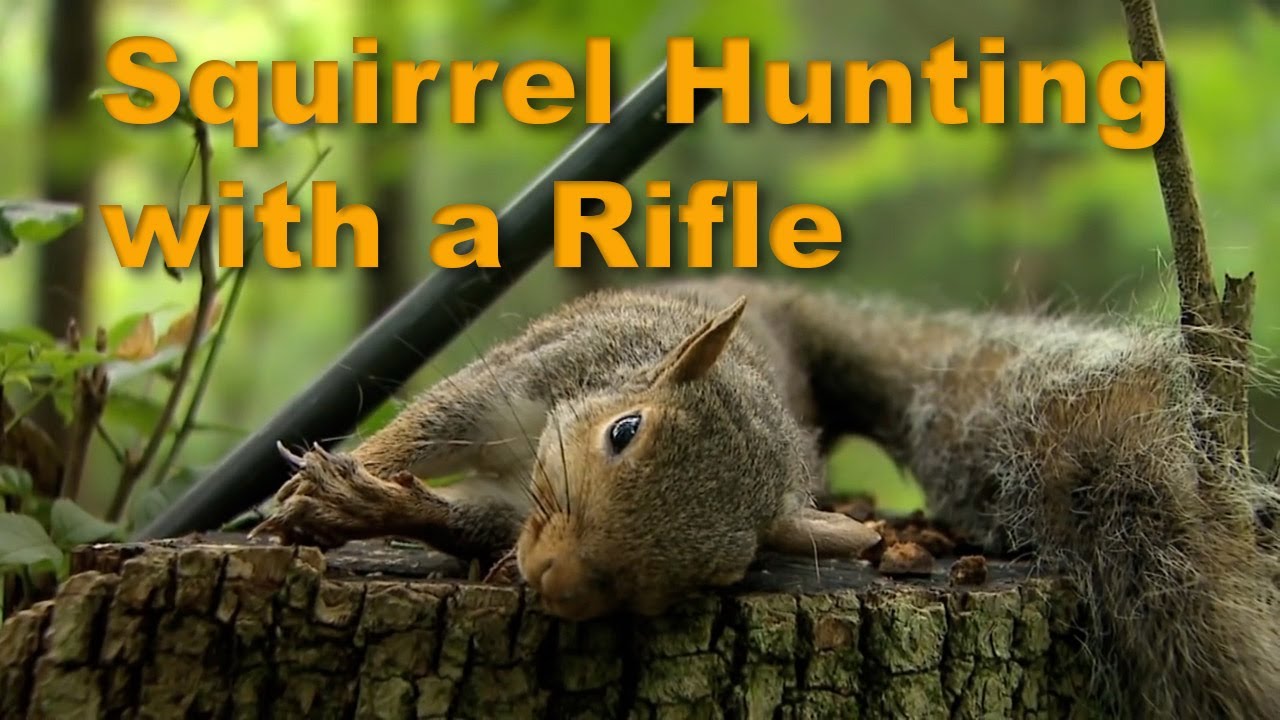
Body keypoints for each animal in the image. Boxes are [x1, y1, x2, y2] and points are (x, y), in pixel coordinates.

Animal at [251, 277, 1280, 719]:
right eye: (622, 432)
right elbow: (419, 431)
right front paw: (331, 495)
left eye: (722, 572)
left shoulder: (515, 504)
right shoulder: (517, 379)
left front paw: (389, 516)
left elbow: (466, 518)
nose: (558, 586)